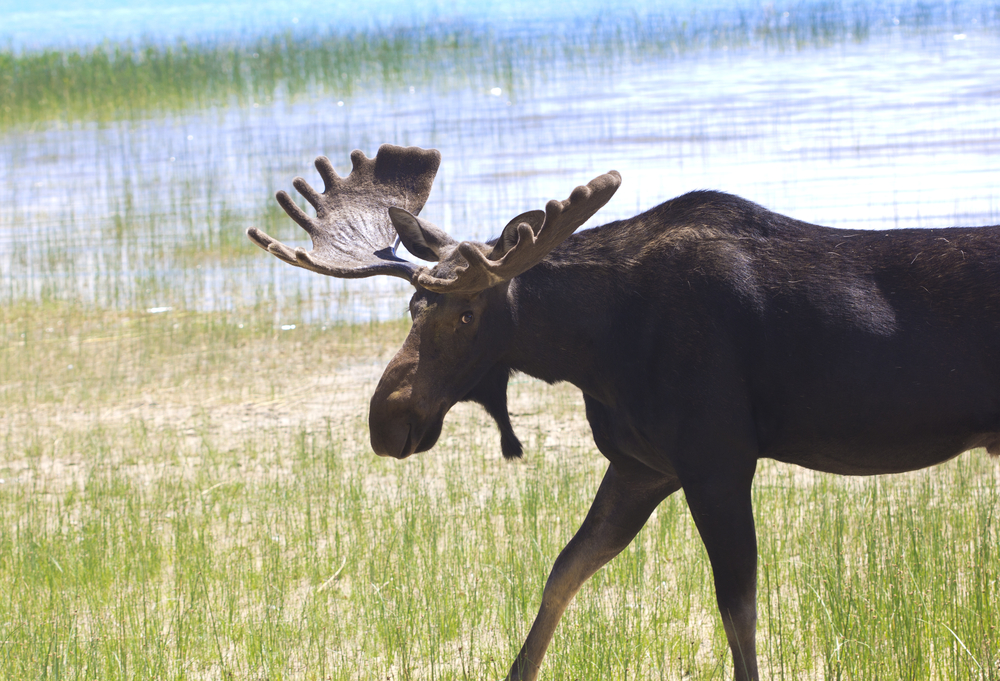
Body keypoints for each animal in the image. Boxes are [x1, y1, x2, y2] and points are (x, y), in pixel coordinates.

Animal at [248, 144, 1000, 681]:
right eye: (412, 307)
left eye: (465, 314)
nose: (387, 420)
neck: (593, 348)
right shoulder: (643, 467)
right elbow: (561, 575)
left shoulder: (717, 461)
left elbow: (739, 617)